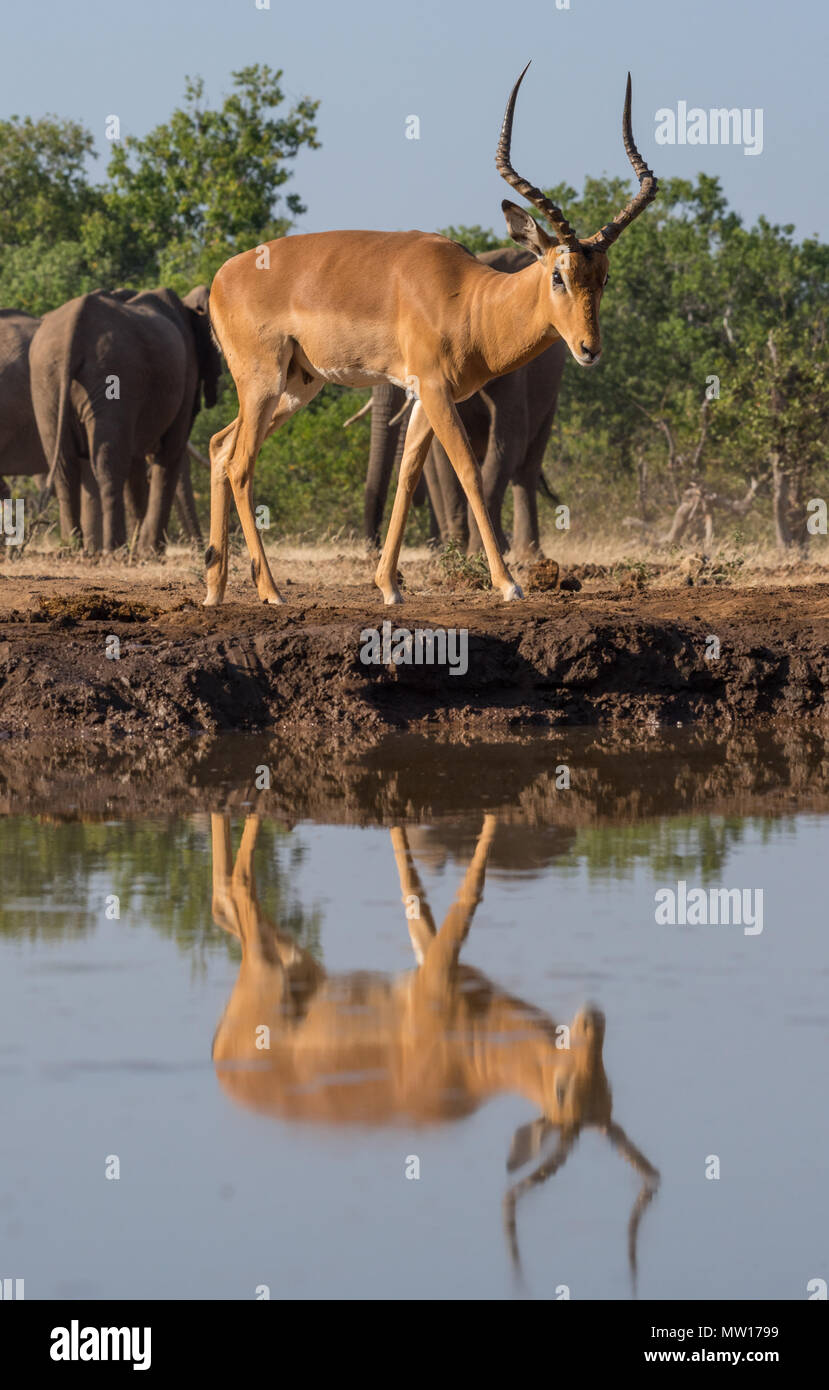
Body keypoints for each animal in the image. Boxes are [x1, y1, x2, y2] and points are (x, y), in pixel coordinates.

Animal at [31, 284, 221, 550]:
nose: (202, 549)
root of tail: (75, 325)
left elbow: (137, 462)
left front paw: (142, 547)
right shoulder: (187, 373)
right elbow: (170, 452)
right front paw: (150, 551)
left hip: (46, 380)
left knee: (64, 469)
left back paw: (73, 548)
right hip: (112, 371)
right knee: (109, 465)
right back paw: (116, 549)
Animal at [358, 250, 567, 558]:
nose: (371, 549)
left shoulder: (515, 374)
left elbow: (507, 440)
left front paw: (476, 553)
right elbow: (443, 449)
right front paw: (456, 551)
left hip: (551, 395)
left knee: (526, 469)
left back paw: (527, 556)